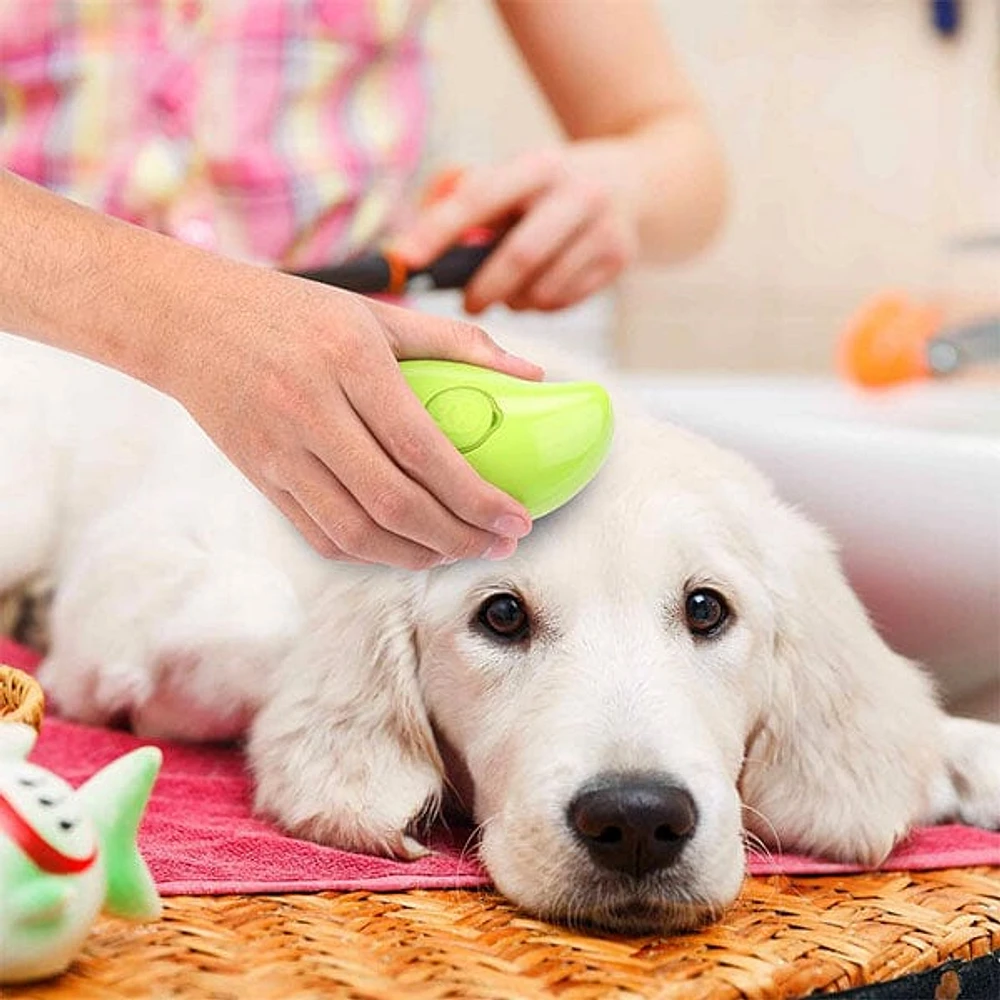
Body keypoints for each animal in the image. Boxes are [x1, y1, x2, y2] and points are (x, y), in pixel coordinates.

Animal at [0, 332, 996, 932]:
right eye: (502, 615)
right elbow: (264, 625)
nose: (638, 821)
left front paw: (963, 757)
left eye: (707, 608)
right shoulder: (131, 574)